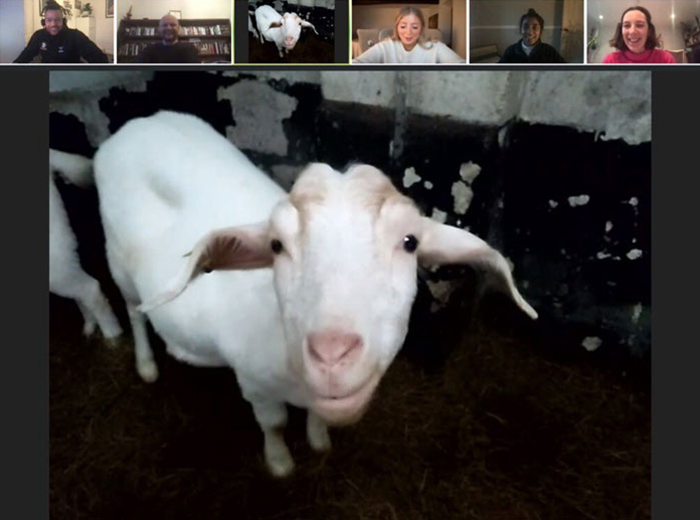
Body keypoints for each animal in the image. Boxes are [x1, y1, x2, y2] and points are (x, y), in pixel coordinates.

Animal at [87, 111, 536, 477]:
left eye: (410, 242)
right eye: (276, 246)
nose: (332, 355)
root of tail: (138, 125)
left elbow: (316, 420)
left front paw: (319, 442)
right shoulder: (254, 382)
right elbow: (273, 424)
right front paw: (280, 463)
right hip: (118, 262)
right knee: (134, 310)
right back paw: (146, 364)